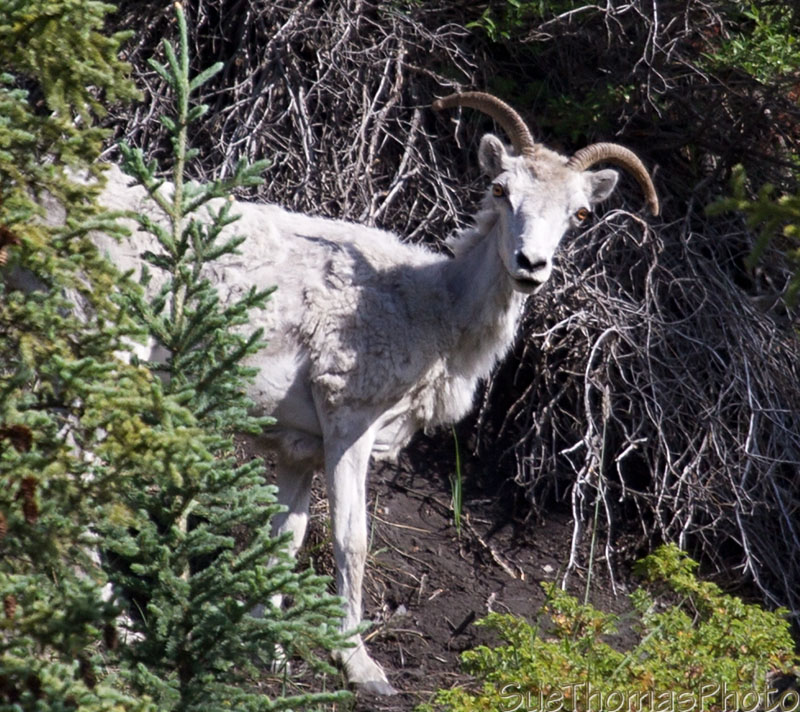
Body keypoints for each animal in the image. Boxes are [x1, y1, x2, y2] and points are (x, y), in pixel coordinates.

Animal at [78, 92, 658, 695]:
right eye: (502, 190)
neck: (432, 310)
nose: (530, 266)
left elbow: (284, 539)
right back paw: (121, 630)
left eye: (579, 214)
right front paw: (359, 665)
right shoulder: (348, 423)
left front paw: (270, 653)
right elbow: (350, 540)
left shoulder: (300, 449)